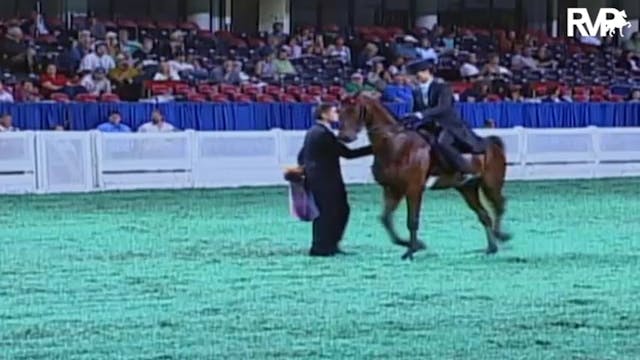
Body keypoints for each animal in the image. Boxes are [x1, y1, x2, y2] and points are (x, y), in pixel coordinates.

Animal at [338, 95, 512, 258]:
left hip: (491, 185)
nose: (344, 137)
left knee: (500, 205)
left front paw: (411, 251)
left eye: (354, 110)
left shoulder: (413, 188)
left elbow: (412, 221)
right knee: (484, 215)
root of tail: (492, 144)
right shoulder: (393, 189)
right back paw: (492, 247)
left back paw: (501, 235)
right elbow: (386, 219)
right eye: (340, 111)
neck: (396, 144)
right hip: (467, 188)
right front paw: (414, 245)